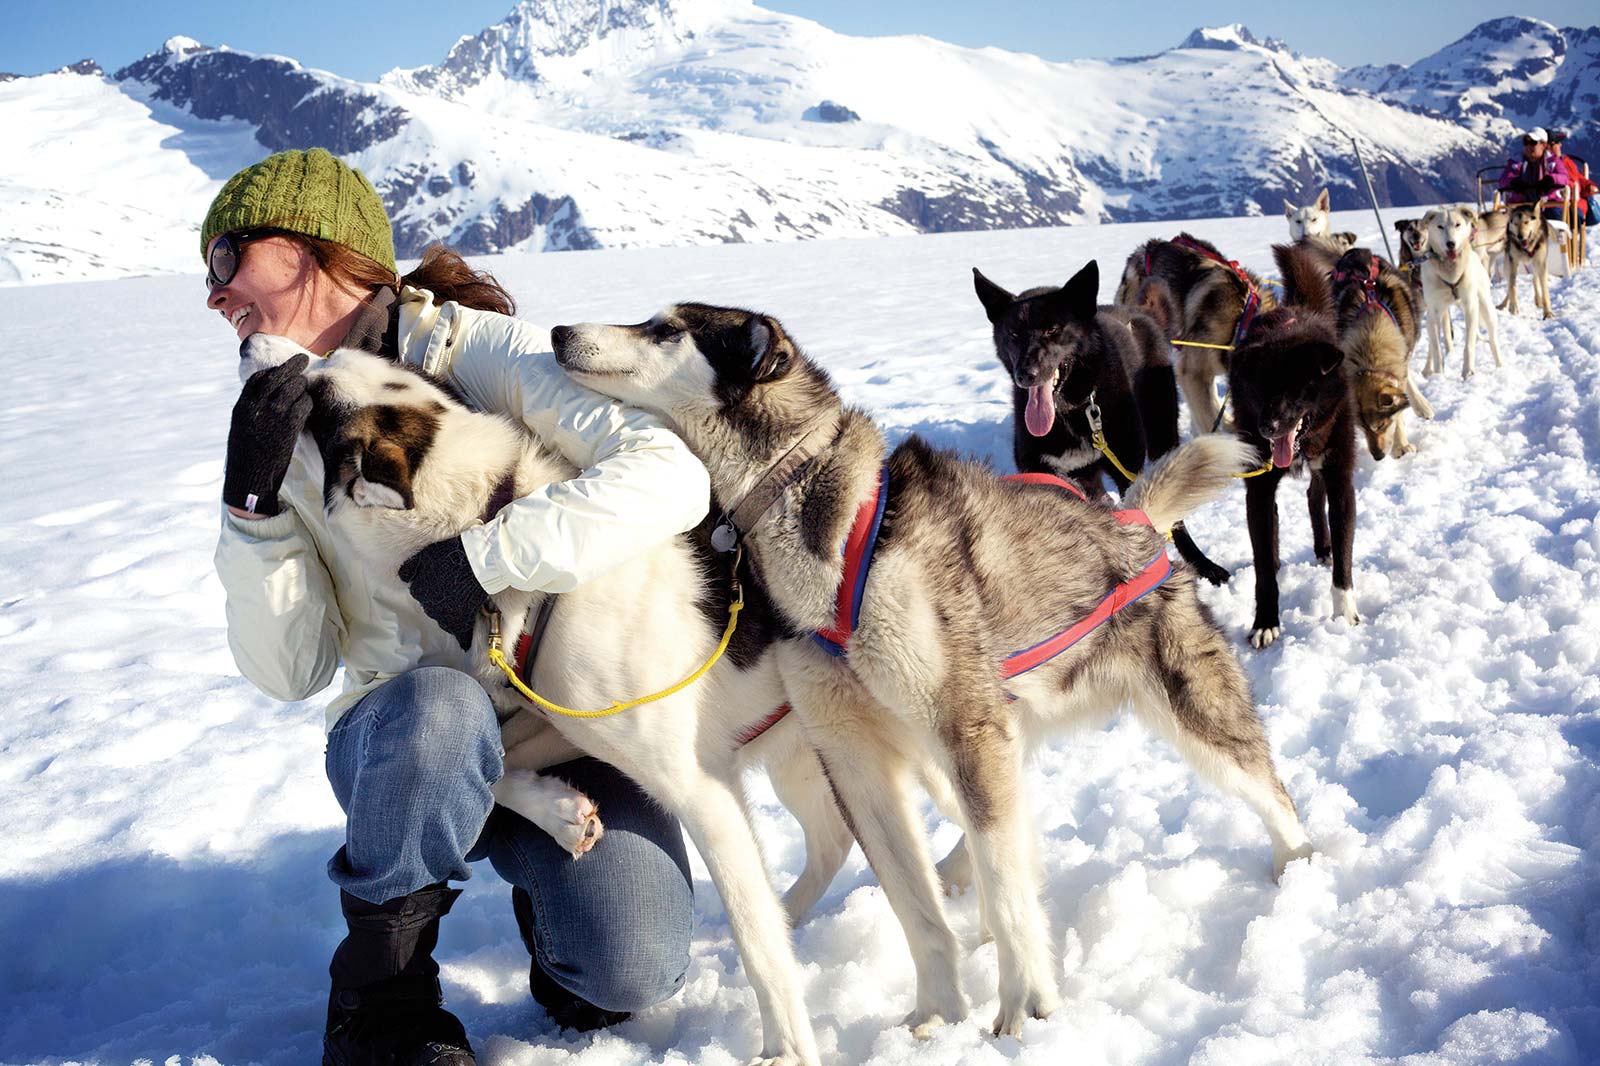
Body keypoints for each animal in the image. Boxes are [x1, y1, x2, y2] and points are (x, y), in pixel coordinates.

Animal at [233, 336, 851, 1062]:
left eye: (312, 396)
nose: (251, 343)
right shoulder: (562, 717)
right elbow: (497, 762)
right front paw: (558, 812)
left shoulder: (700, 786)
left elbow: (758, 943)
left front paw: (788, 1047)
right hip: (800, 754)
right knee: (834, 838)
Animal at [550, 299, 1312, 1037]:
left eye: (666, 329)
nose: (558, 331)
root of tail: (1132, 520)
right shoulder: (853, 755)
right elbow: (913, 906)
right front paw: (939, 1013)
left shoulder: (962, 726)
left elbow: (1006, 892)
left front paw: (1024, 1008)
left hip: (1183, 712)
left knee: (1267, 791)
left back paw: (1299, 867)